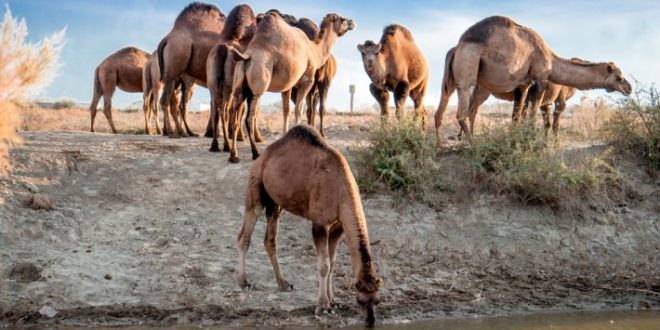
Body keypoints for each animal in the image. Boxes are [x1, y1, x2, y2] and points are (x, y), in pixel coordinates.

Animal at [157, 1, 224, 137]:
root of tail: (167, 39)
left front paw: (211, 132)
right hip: (176, 68)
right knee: (170, 102)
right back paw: (175, 132)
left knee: (175, 103)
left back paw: (180, 131)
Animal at [227, 12, 356, 162]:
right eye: (342, 19)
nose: (352, 22)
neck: (314, 50)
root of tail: (247, 56)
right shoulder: (307, 80)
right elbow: (299, 109)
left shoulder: (288, 85)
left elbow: (286, 110)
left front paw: (284, 136)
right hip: (257, 87)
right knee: (249, 119)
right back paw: (255, 152)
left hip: (239, 88)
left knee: (235, 119)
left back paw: (234, 155)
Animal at [237, 125, 382, 326]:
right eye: (360, 301)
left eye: (377, 300)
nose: (371, 320)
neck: (341, 190)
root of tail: (263, 155)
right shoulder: (319, 223)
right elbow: (324, 265)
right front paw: (322, 306)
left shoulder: (338, 226)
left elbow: (332, 262)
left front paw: (333, 301)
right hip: (256, 186)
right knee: (244, 235)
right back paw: (243, 282)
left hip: (276, 203)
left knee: (270, 240)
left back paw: (283, 283)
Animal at [448, 15, 628, 138]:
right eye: (618, 77)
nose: (629, 88)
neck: (551, 61)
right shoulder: (547, 88)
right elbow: (546, 122)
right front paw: (543, 144)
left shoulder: (531, 91)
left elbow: (525, 118)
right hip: (476, 76)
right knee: (469, 108)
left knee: (471, 110)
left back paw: (463, 138)